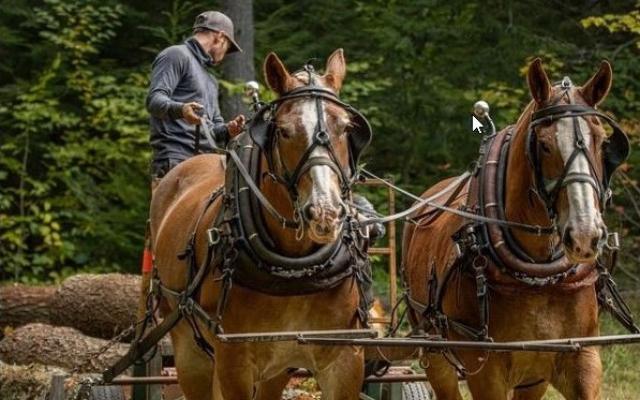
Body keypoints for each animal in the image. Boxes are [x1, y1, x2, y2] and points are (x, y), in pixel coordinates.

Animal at [149, 49, 373, 400]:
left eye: (346, 128)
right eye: (283, 130)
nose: (324, 211)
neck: (295, 272)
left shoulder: (344, 360)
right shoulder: (233, 362)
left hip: (276, 366)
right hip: (190, 351)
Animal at [402, 58, 630, 399]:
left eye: (603, 142)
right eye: (545, 145)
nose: (584, 235)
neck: (537, 276)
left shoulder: (581, 358)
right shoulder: (485, 370)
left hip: (532, 376)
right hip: (434, 352)